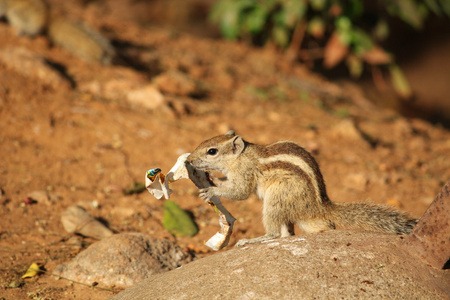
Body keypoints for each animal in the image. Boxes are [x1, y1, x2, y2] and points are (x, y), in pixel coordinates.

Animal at [187, 131, 418, 246]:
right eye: (204, 141)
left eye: (212, 151)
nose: (189, 160)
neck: (242, 156)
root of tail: (320, 207)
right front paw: (212, 179)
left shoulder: (245, 174)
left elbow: (240, 192)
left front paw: (212, 190)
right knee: (292, 233)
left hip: (276, 200)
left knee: (273, 233)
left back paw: (249, 241)